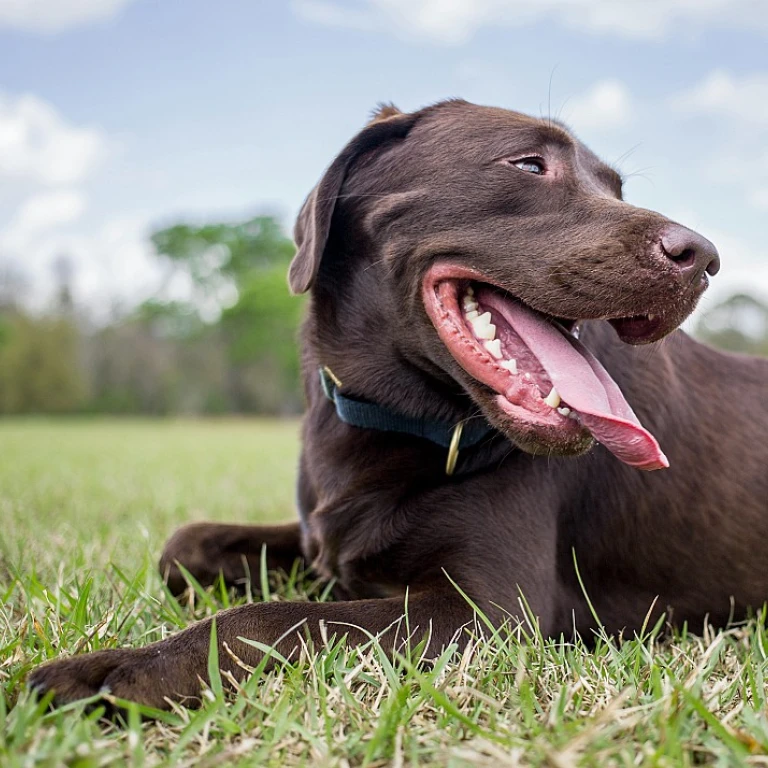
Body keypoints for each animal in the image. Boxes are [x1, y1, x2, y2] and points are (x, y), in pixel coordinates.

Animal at [31, 99, 768, 712]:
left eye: (616, 189)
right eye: (529, 164)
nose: (703, 257)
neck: (395, 418)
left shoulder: (489, 612)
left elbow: (275, 618)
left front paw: (118, 670)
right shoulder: (324, 539)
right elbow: (185, 544)